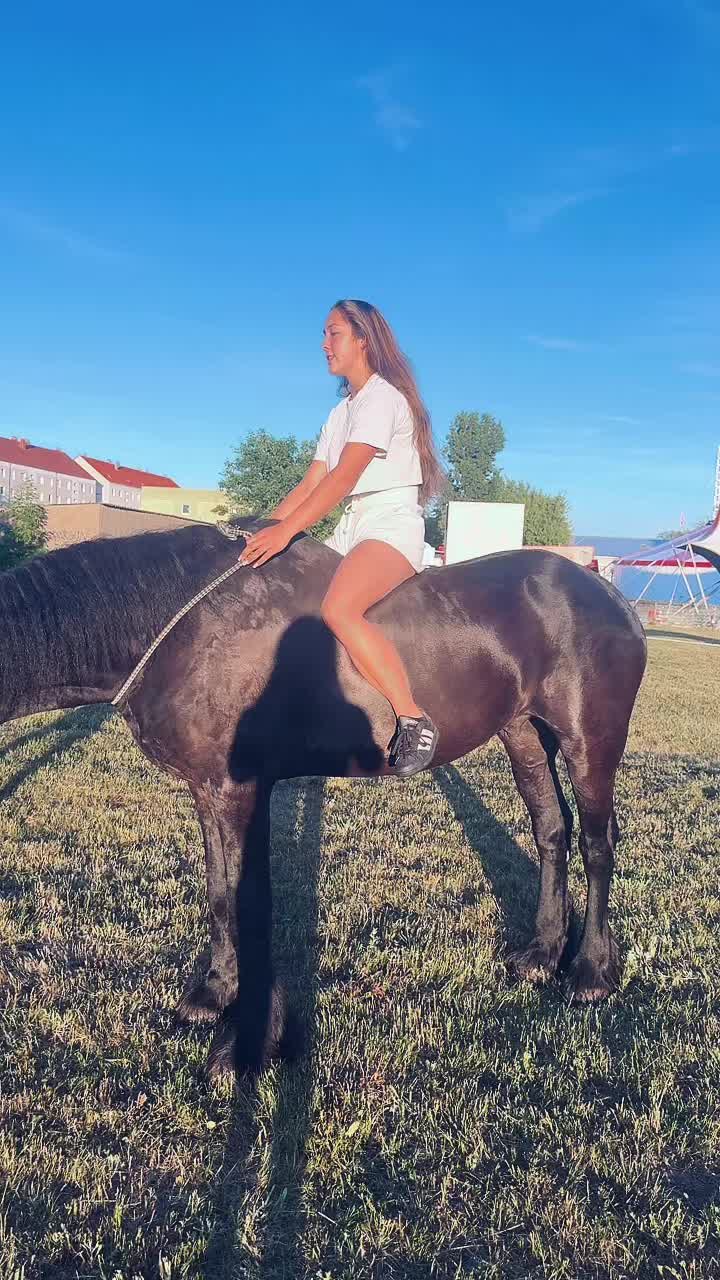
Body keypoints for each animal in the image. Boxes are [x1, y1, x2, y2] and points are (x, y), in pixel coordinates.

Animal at [0, 518, 647, 1078]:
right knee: (551, 831)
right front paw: (213, 993)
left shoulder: (240, 791)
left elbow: (249, 901)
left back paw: (591, 970)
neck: (184, 626)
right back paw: (541, 954)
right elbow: (219, 895)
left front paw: (246, 1041)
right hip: (523, 733)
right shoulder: (207, 789)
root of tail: (610, 597)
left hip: (590, 740)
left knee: (597, 843)